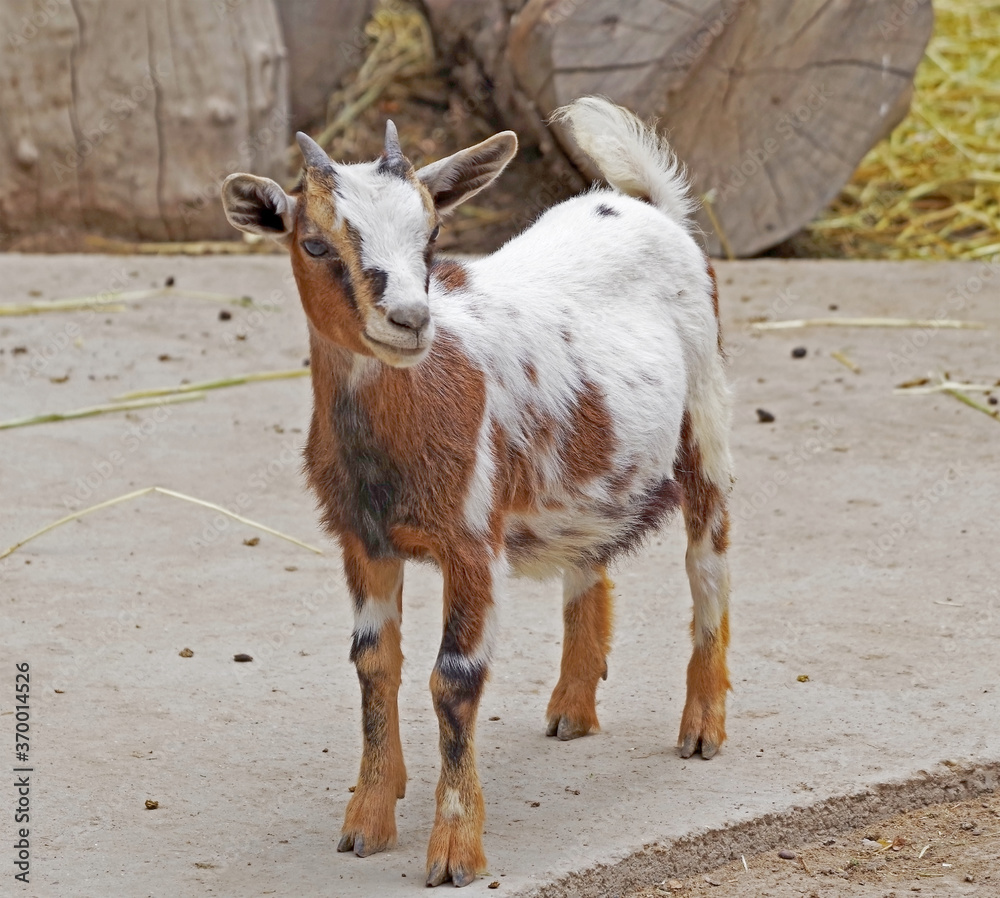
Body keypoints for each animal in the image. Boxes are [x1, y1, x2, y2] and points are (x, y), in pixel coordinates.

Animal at [221, 96, 733, 888]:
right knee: (590, 557)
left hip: (706, 416)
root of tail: (649, 207)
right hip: (587, 471)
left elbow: (453, 680)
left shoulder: (471, 540)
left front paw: (455, 850)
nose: (409, 319)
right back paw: (572, 708)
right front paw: (368, 818)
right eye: (313, 243)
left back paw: (702, 726)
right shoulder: (362, 541)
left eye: (432, 235)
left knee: (707, 562)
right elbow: (374, 664)